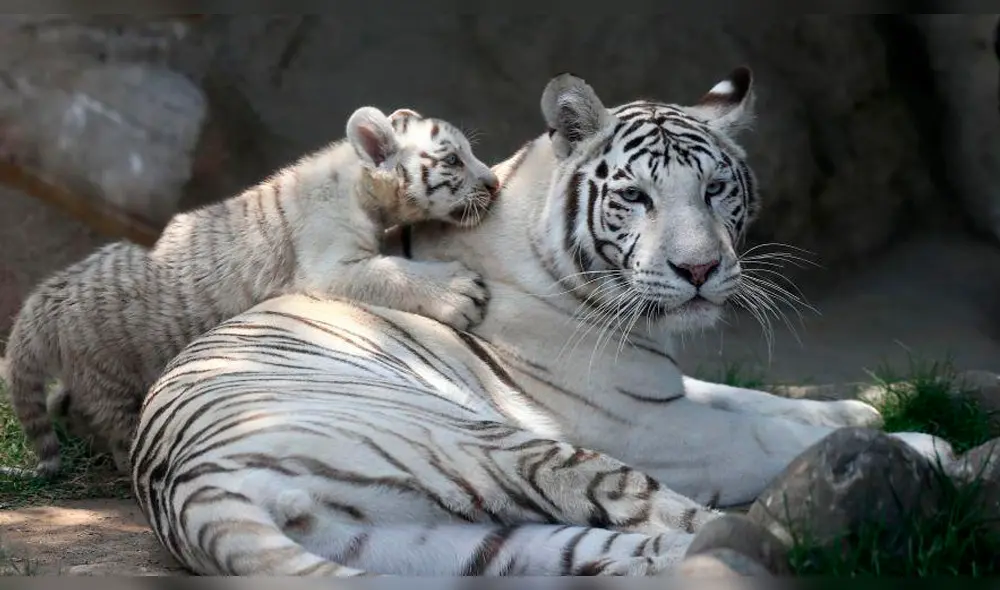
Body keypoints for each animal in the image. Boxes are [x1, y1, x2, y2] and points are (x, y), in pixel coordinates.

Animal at [2, 105, 498, 480]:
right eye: (454, 161)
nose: (493, 183)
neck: (361, 188)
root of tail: (43, 300)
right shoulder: (328, 266)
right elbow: (390, 272)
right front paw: (460, 293)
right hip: (109, 375)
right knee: (117, 433)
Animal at [130, 69, 953, 577]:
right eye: (636, 197)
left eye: (716, 189)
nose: (699, 271)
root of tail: (192, 488)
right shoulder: (650, 424)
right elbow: (762, 433)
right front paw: (914, 437)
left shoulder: (665, 386)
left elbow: (763, 400)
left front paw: (867, 409)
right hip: (506, 447)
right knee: (677, 516)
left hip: (462, 548)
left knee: (633, 552)